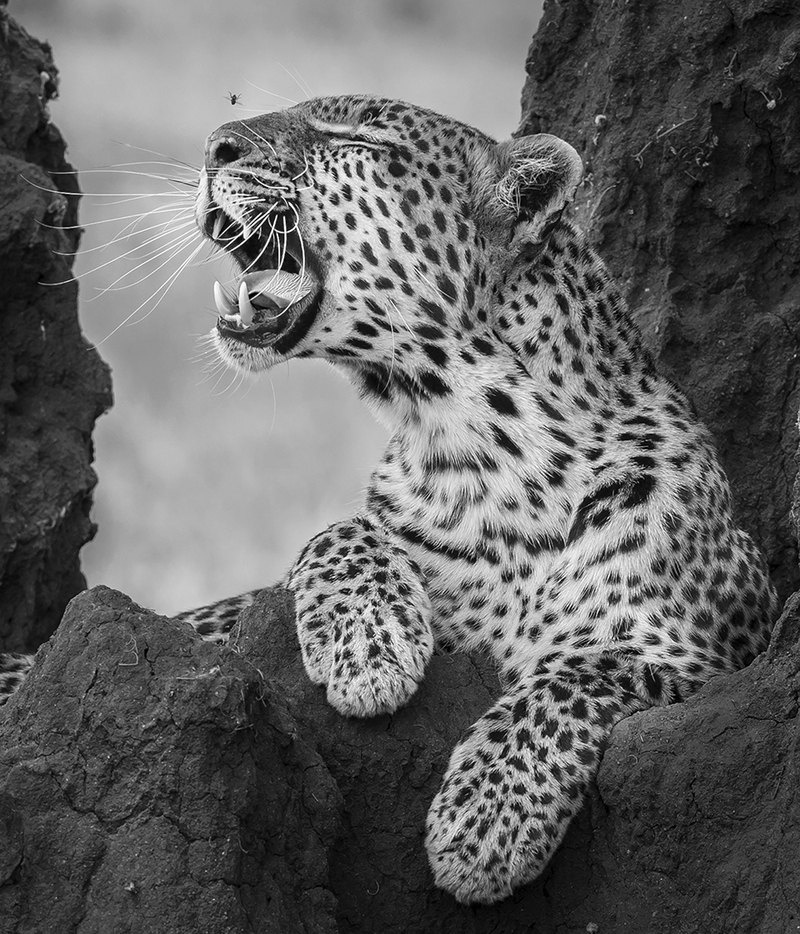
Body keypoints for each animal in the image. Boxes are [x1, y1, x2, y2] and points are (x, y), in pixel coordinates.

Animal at [0, 95, 780, 905]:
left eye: (356, 137)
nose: (216, 146)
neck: (485, 448)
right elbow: (339, 533)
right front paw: (366, 653)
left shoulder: (715, 654)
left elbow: (579, 673)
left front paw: (486, 821)